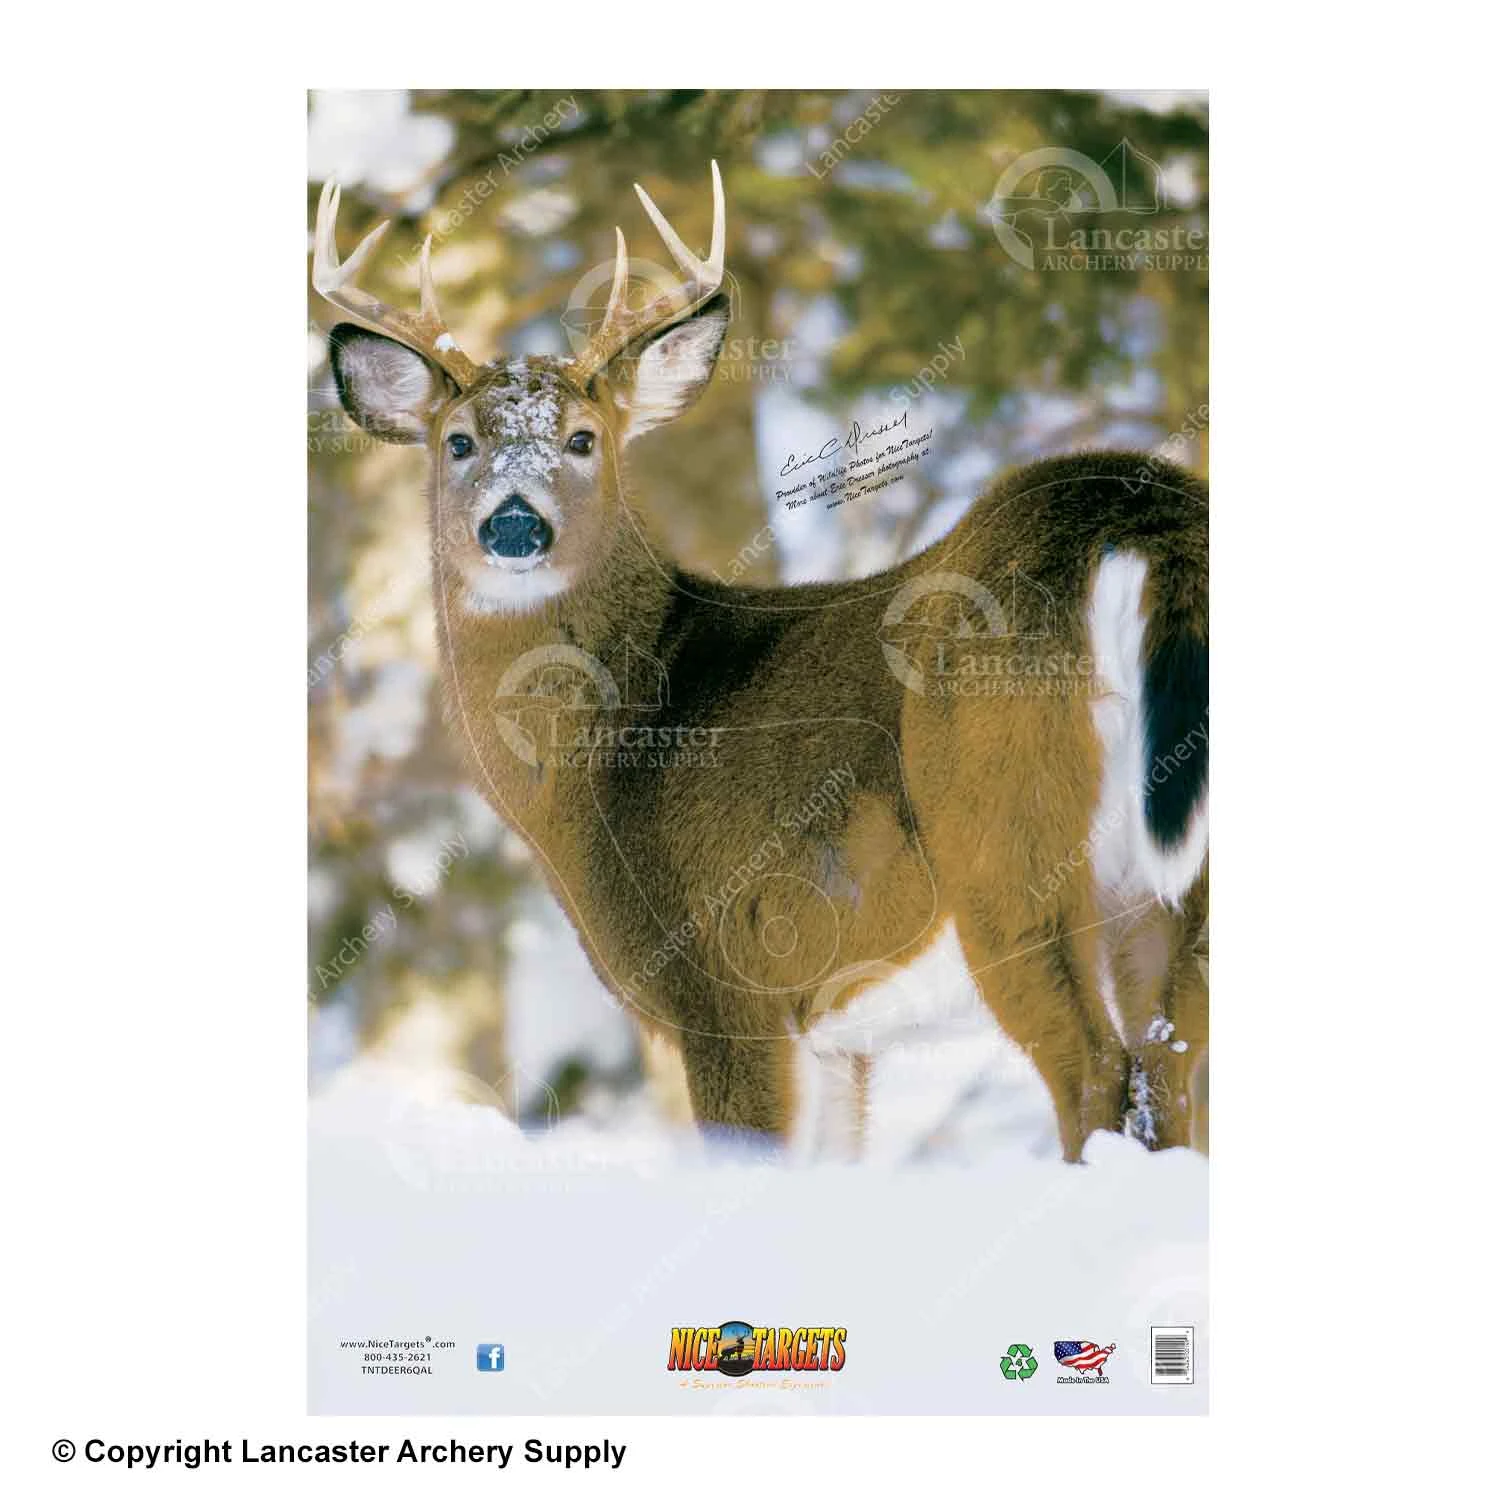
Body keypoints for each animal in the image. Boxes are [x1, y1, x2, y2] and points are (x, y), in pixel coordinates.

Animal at [312, 162, 1208, 1161]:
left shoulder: (722, 979)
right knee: (1169, 1074)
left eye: (585, 438)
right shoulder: (836, 1035)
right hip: (1174, 889)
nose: (513, 524)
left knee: (1093, 1072)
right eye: (458, 441)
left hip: (1006, 837)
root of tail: (1129, 514)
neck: (606, 759)